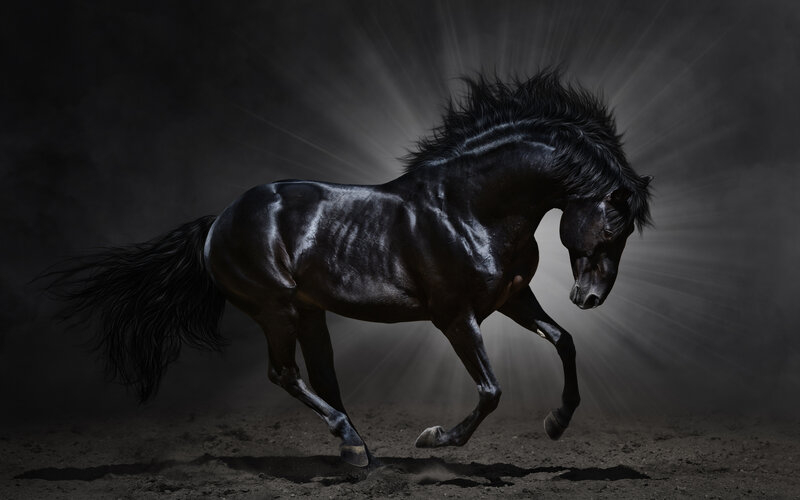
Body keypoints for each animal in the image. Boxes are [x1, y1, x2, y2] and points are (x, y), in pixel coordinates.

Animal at [45, 70, 652, 468]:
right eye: (612, 227)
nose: (589, 298)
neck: (470, 208)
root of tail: (218, 221)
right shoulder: (456, 317)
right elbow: (490, 390)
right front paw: (433, 439)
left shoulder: (511, 298)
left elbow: (564, 341)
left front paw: (556, 422)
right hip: (275, 309)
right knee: (284, 374)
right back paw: (354, 445)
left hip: (309, 312)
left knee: (322, 377)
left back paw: (357, 449)